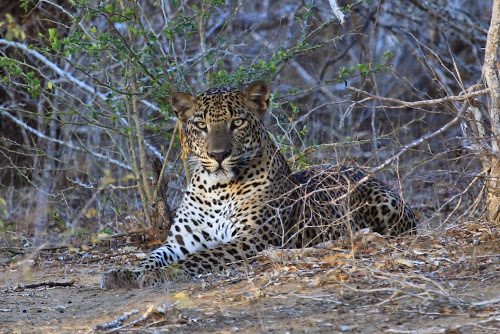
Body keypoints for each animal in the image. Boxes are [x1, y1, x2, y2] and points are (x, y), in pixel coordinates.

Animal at [100, 81, 414, 290]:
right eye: (201, 126)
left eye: (237, 123)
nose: (218, 155)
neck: (216, 189)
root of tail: (357, 167)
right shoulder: (181, 241)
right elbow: (152, 256)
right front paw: (125, 273)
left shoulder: (254, 239)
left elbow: (205, 255)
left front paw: (162, 274)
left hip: (386, 205)